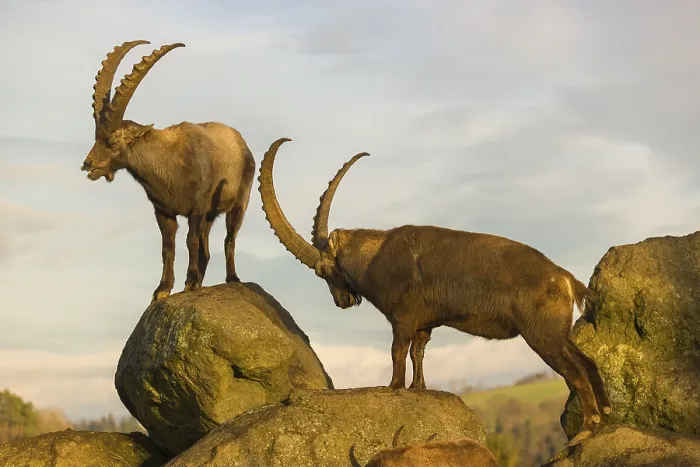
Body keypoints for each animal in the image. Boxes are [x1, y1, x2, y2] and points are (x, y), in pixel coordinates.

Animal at [81, 40, 255, 303]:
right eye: (96, 137)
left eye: (110, 141)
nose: (88, 164)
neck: (168, 163)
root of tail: (241, 141)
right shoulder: (163, 211)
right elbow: (167, 247)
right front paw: (162, 289)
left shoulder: (197, 206)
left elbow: (190, 241)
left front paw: (189, 282)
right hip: (210, 216)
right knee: (206, 249)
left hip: (238, 203)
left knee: (229, 239)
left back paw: (231, 278)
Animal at [257, 138, 612, 447]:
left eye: (323, 270)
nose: (342, 301)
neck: (377, 256)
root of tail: (564, 277)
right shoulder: (425, 323)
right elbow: (419, 353)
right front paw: (419, 388)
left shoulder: (402, 318)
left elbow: (398, 353)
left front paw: (394, 387)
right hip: (559, 334)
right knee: (588, 361)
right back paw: (606, 413)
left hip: (542, 335)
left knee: (575, 371)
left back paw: (587, 428)